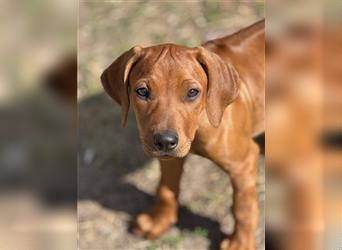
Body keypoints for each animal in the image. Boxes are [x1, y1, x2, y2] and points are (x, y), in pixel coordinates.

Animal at [100, 20, 266, 250]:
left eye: (192, 92)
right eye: (142, 91)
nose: (164, 141)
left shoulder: (244, 162)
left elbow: (243, 207)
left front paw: (241, 243)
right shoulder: (168, 156)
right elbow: (166, 187)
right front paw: (159, 220)